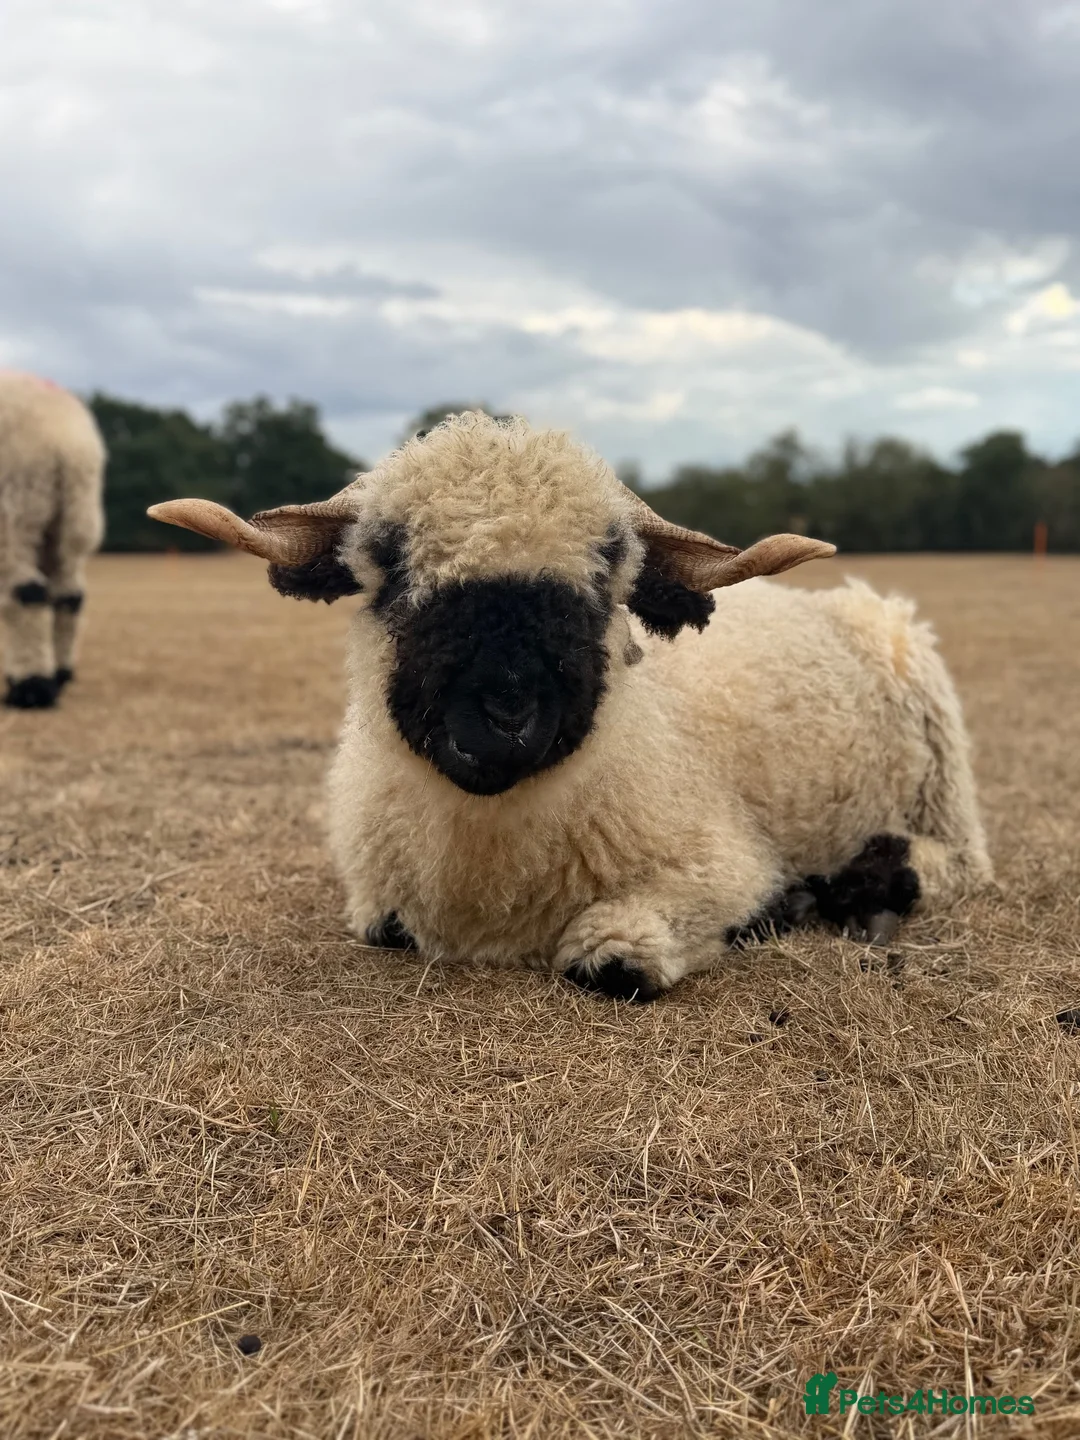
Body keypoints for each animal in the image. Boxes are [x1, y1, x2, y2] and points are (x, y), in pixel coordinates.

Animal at [1, 371, 106, 708]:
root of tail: (65, 442)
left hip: (17, 513)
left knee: (26, 594)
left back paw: (31, 689)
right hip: (71, 520)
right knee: (69, 595)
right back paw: (58, 675)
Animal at [149, 411, 992, 1001]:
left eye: (611, 567)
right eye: (387, 559)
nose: (506, 715)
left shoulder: (722, 857)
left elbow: (616, 960)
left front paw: (767, 909)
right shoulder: (378, 897)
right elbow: (384, 926)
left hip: (941, 779)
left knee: (960, 865)